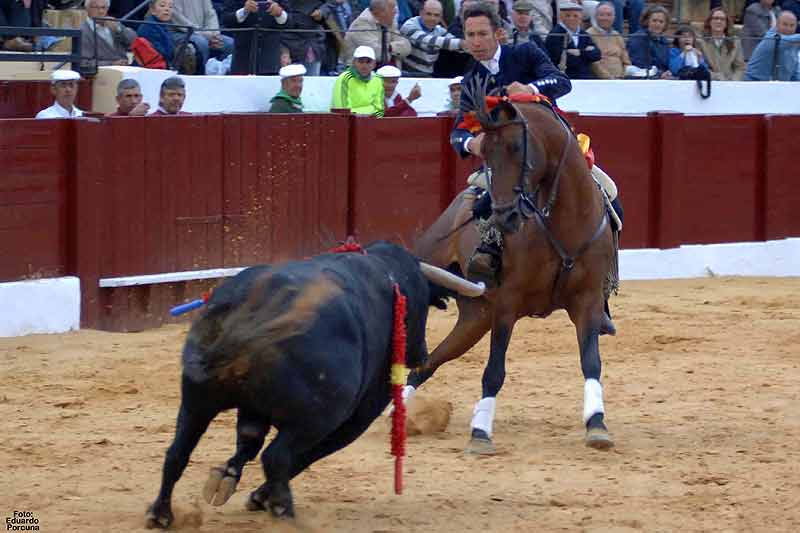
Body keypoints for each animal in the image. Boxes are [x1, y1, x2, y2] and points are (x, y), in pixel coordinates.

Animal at [144, 241, 482, 528]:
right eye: (422, 302)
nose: (420, 355)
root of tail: (261, 312)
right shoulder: (355, 417)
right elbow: (303, 456)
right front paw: (260, 496)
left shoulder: (253, 410)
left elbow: (247, 443)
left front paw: (226, 478)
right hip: (319, 418)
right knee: (277, 457)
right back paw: (285, 513)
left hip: (196, 401)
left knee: (177, 453)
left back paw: (160, 514)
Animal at [406, 87, 620, 454]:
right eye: (484, 151)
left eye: (517, 148)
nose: (504, 216)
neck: (562, 221)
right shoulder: (507, 303)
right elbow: (494, 370)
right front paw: (480, 434)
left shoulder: (588, 301)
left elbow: (591, 362)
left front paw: (597, 425)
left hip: (475, 319)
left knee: (427, 363)